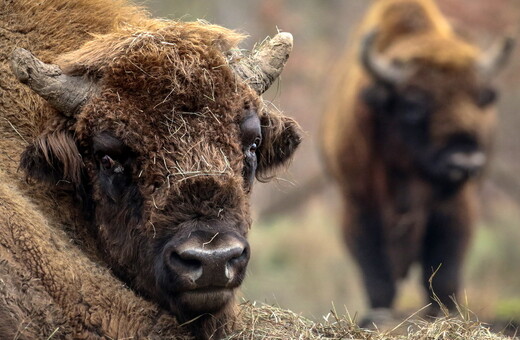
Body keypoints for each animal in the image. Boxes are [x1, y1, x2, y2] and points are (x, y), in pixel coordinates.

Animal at [320, 0, 512, 324]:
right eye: (412, 104)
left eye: (479, 98)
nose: (465, 159)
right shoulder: (358, 206)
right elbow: (377, 278)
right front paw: (377, 318)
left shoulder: (455, 209)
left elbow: (443, 276)